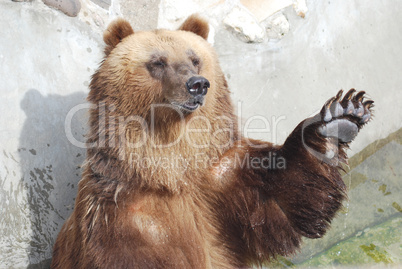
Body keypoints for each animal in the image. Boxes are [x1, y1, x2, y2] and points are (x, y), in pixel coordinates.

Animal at [50, 15, 374, 268]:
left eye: (195, 59)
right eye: (157, 62)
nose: (197, 84)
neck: (170, 171)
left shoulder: (221, 182)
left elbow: (286, 200)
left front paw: (340, 118)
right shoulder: (124, 218)